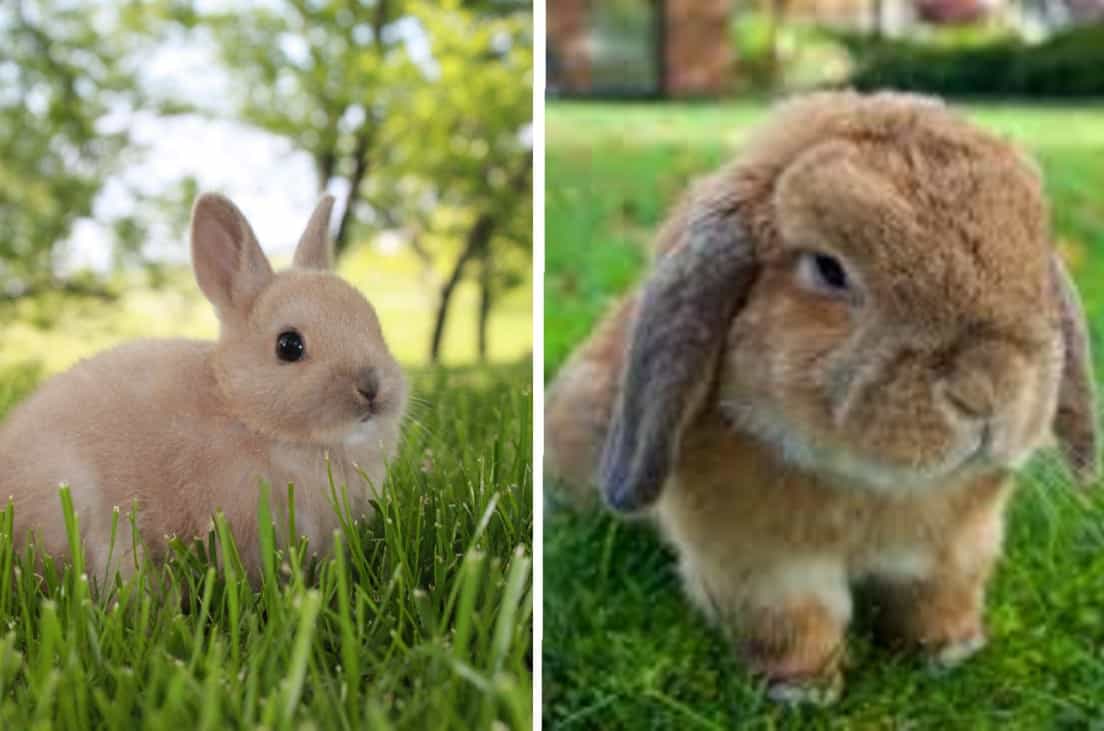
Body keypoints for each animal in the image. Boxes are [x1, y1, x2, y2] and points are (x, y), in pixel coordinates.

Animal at [547, 91, 1099, 706]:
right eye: (829, 269)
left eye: (1035, 259)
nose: (988, 388)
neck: (878, 485)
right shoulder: (762, 563)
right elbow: (797, 620)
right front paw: (801, 691)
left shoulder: (956, 550)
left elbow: (936, 599)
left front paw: (951, 651)